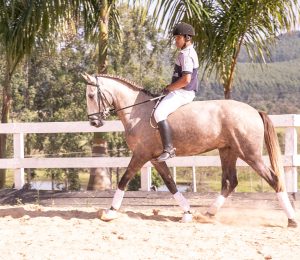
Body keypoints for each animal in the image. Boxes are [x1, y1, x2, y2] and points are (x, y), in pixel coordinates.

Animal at [82, 73, 298, 228]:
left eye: (91, 95)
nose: (94, 122)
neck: (137, 111)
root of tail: (255, 111)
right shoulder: (155, 159)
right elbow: (171, 184)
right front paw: (187, 213)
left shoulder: (141, 155)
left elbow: (124, 179)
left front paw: (110, 212)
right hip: (228, 151)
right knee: (230, 182)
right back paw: (207, 214)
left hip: (250, 154)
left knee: (274, 180)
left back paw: (291, 220)